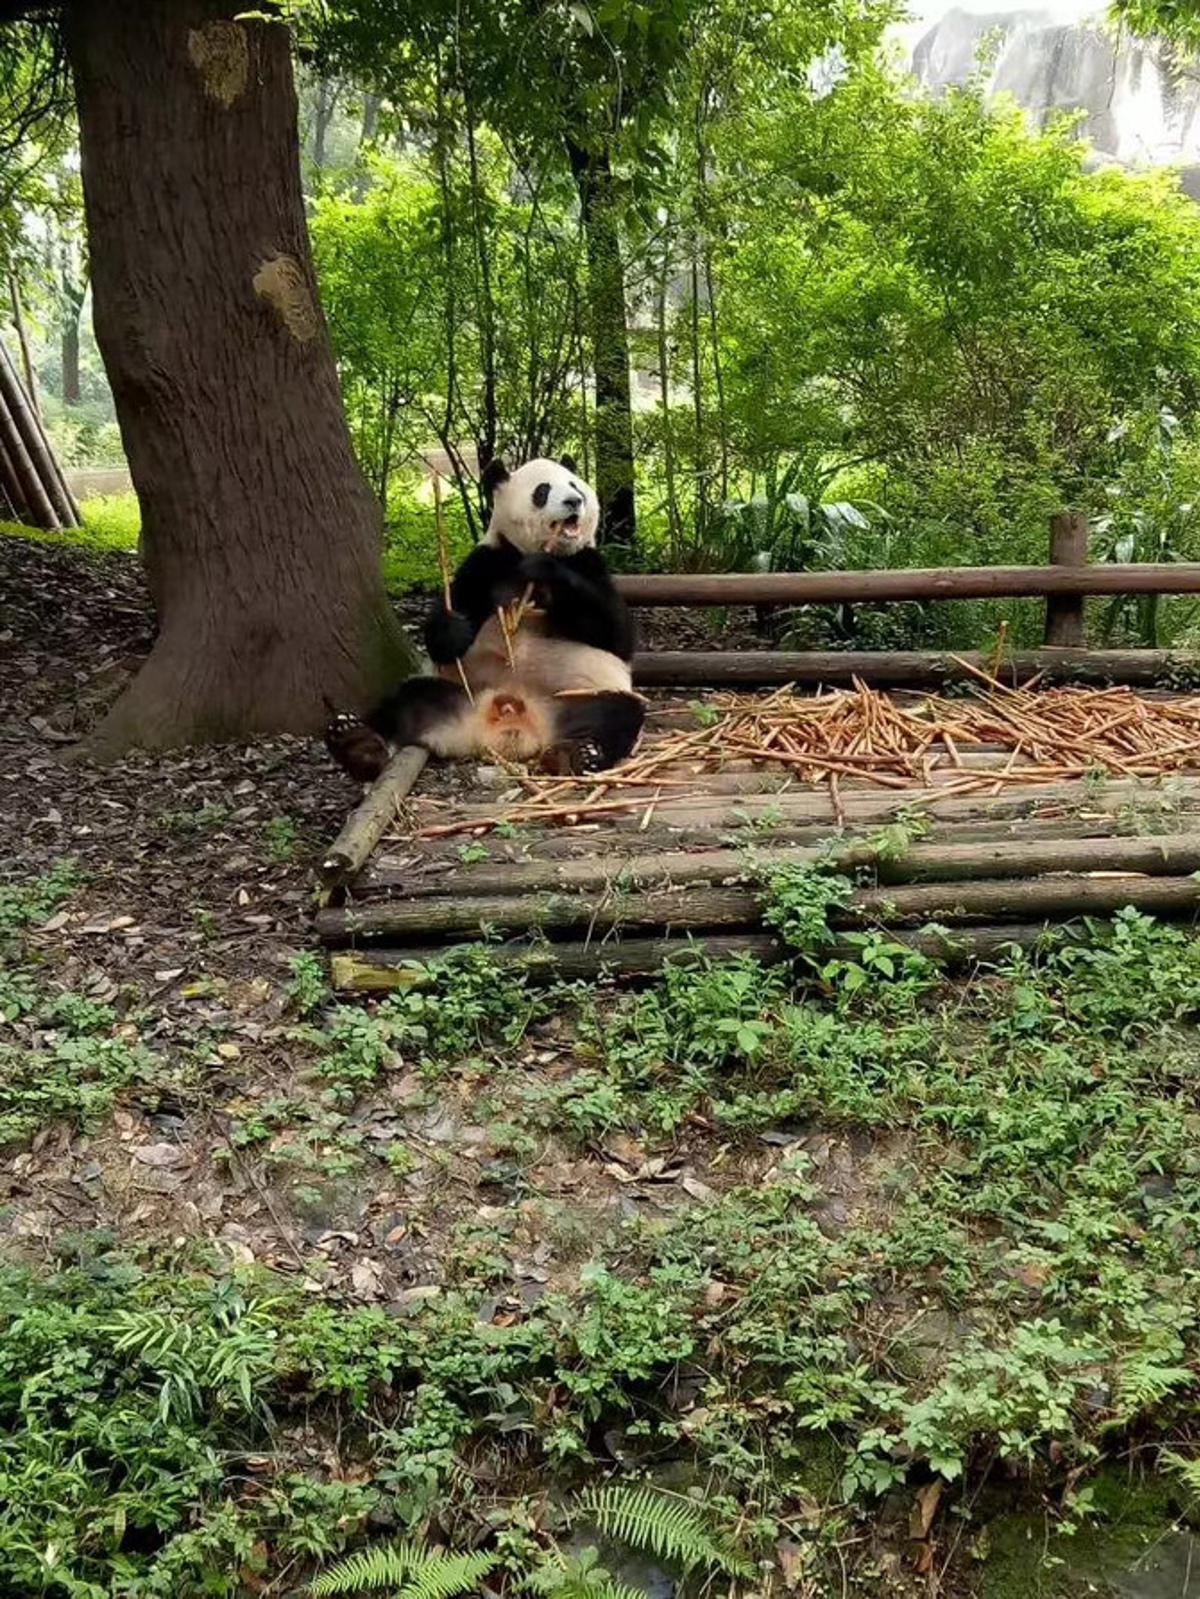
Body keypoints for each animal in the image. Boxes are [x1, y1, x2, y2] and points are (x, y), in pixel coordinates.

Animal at [325, 455, 645, 781]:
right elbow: (441, 637)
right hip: (450, 692)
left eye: (575, 484)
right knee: (403, 702)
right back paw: (357, 743)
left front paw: (546, 570)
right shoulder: (487, 562)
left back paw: (578, 753)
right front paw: (455, 629)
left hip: (576, 695)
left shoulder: (588, 562)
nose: (574, 501)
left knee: (614, 713)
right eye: (542, 491)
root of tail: (504, 725)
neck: (532, 552)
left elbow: (618, 634)